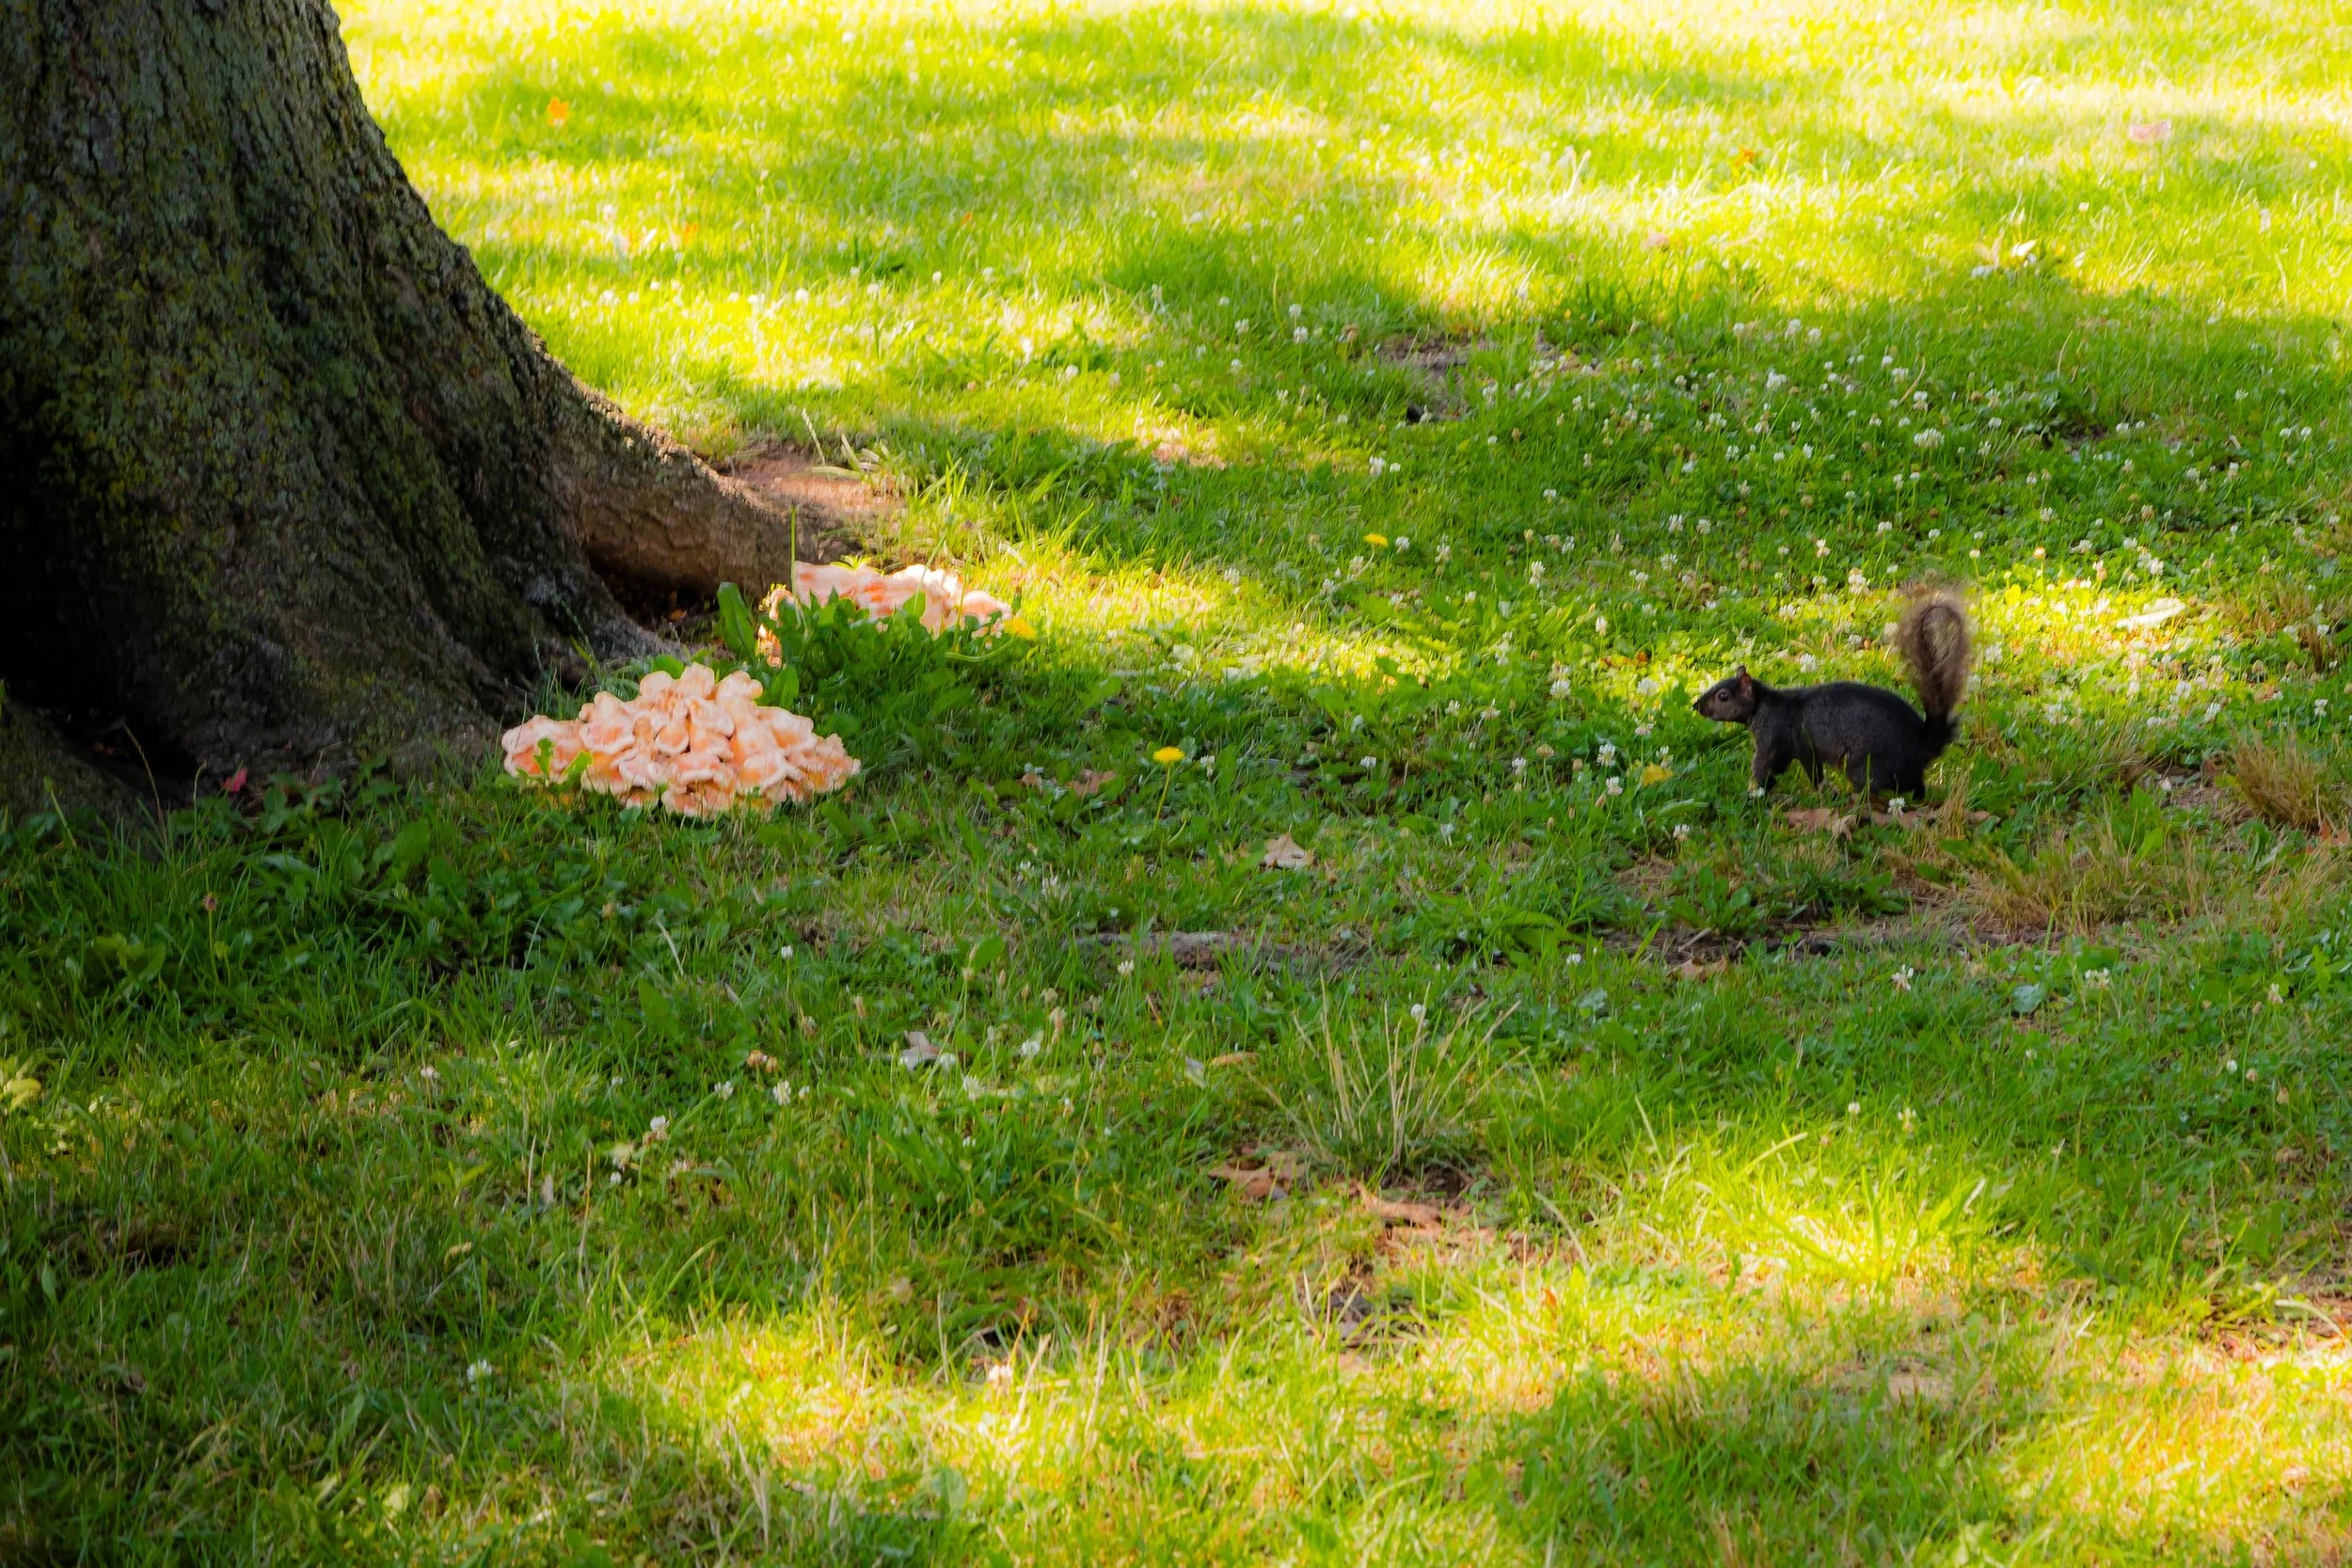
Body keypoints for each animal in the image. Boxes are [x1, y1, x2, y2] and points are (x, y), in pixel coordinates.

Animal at [1693, 588, 1972, 797]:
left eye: (1723, 696)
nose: (1696, 706)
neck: (1765, 704)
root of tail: (1923, 743)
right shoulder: (1801, 749)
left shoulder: (1777, 738)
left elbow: (1767, 768)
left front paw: (1755, 794)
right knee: (1917, 788)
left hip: (1866, 766)